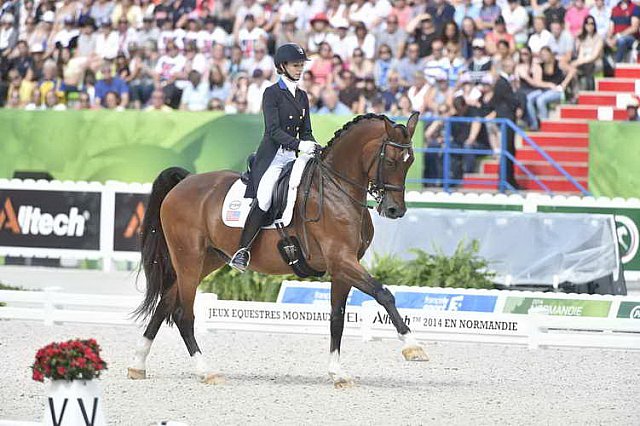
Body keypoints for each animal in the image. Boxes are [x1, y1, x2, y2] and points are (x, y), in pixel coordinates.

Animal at [129, 111, 430, 388]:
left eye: (410, 162)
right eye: (390, 161)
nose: (395, 210)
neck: (337, 191)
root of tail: (185, 181)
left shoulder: (342, 267)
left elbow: (337, 318)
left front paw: (337, 373)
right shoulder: (341, 260)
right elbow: (384, 294)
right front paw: (413, 346)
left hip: (207, 260)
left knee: (165, 304)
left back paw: (138, 365)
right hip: (188, 258)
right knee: (182, 313)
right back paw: (206, 371)